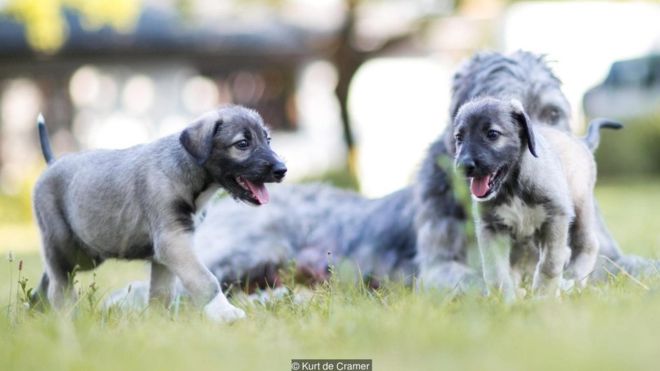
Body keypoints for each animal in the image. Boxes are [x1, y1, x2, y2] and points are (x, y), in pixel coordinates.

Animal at [32, 106, 286, 322]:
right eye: (242, 143)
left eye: (267, 139)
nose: (282, 170)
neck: (189, 171)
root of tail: (52, 163)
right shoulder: (173, 241)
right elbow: (205, 279)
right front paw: (225, 313)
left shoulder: (168, 253)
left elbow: (161, 293)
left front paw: (158, 324)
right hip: (66, 246)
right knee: (59, 282)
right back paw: (66, 317)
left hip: (86, 254)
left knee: (49, 276)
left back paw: (34, 309)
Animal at [448, 97, 608, 298]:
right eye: (459, 137)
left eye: (492, 134)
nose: (463, 166)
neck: (512, 187)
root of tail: (580, 141)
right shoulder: (490, 227)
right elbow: (495, 271)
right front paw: (505, 299)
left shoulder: (556, 218)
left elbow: (550, 264)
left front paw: (543, 296)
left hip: (581, 207)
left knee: (586, 243)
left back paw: (572, 280)